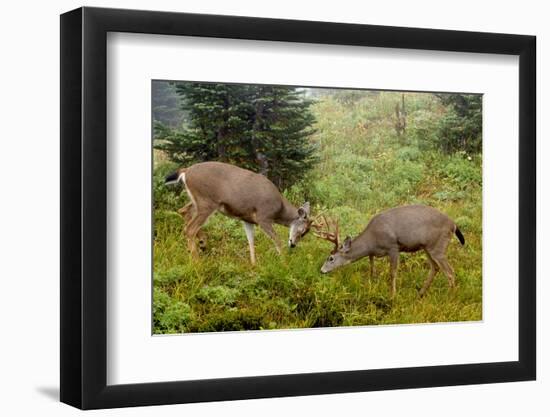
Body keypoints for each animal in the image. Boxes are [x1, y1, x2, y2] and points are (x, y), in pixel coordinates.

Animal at [165, 160, 314, 264]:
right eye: (302, 230)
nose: (293, 244)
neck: (279, 209)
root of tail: (186, 171)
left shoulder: (247, 219)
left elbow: (251, 241)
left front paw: (253, 264)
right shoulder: (263, 217)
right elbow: (277, 240)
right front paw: (284, 263)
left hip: (198, 201)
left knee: (184, 211)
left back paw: (201, 243)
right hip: (206, 202)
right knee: (189, 228)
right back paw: (197, 261)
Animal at [314, 204, 466, 296]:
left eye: (331, 258)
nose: (321, 270)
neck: (372, 241)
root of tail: (453, 224)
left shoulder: (393, 247)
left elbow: (392, 273)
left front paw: (392, 295)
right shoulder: (373, 253)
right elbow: (372, 268)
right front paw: (372, 284)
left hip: (438, 246)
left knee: (450, 271)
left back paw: (450, 297)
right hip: (427, 247)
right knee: (435, 268)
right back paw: (420, 293)